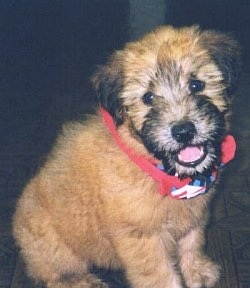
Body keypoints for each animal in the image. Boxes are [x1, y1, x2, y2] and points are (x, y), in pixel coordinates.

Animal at [12, 25, 240, 286]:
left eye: (196, 85)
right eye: (148, 98)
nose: (183, 131)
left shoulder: (194, 216)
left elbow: (191, 243)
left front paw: (197, 271)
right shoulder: (141, 236)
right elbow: (160, 273)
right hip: (56, 247)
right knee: (56, 275)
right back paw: (82, 281)